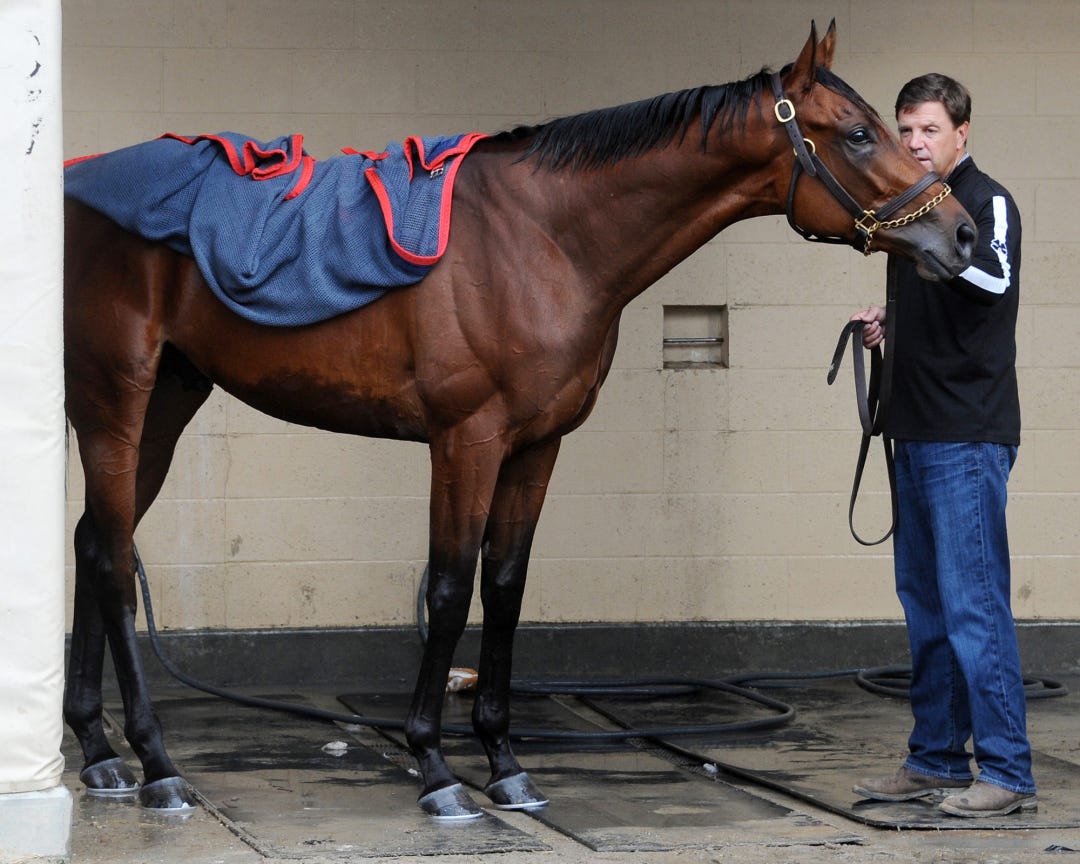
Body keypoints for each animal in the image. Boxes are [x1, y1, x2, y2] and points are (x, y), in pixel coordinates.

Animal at [62, 21, 975, 819]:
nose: (962, 235)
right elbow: (447, 587)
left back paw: (99, 751)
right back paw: (157, 765)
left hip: (167, 405)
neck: (545, 240)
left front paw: (505, 763)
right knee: (112, 559)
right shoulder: (467, 439)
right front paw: (434, 767)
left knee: (93, 543)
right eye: (858, 133)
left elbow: (504, 586)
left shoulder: (537, 445)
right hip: (115, 403)